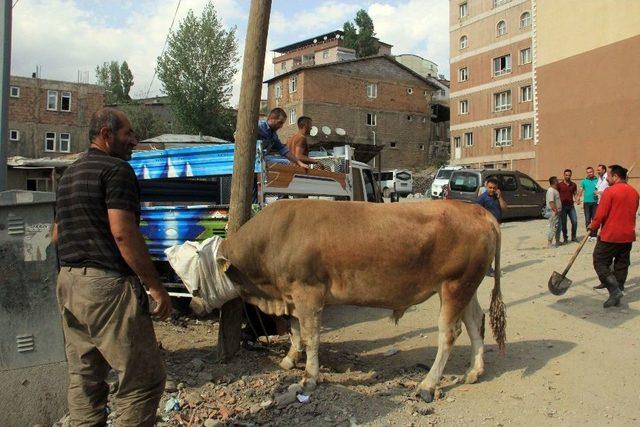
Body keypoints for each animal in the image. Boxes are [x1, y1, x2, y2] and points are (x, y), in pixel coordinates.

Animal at [215, 200, 504, 402]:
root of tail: (478, 211)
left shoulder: (308, 293)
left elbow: (310, 337)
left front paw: (308, 378)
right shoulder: (292, 296)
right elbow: (296, 331)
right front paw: (289, 359)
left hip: (454, 284)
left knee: (449, 333)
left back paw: (427, 385)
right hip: (466, 285)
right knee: (475, 321)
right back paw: (474, 371)